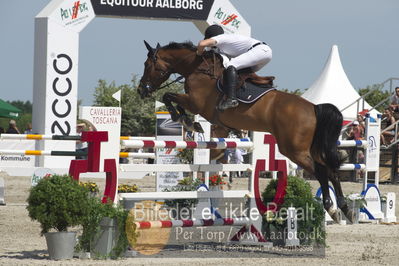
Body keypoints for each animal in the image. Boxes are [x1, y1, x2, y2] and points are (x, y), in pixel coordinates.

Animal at [138, 40, 356, 222]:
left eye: (147, 65)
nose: (141, 90)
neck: (198, 69)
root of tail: (314, 108)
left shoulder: (195, 102)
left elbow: (168, 96)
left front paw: (185, 120)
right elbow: (173, 100)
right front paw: (189, 122)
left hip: (294, 150)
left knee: (321, 171)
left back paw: (332, 208)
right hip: (309, 149)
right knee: (331, 171)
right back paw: (345, 209)